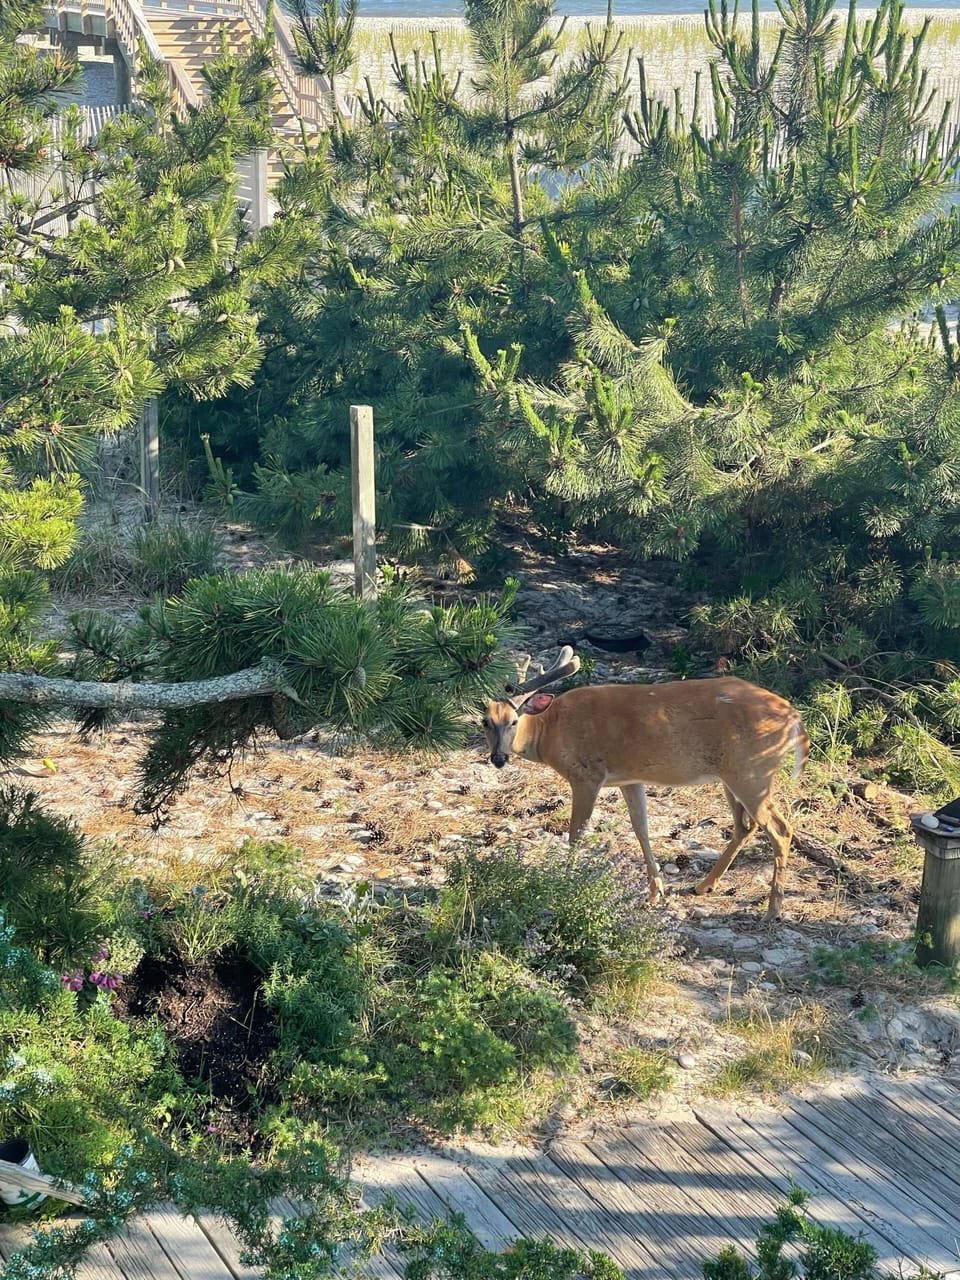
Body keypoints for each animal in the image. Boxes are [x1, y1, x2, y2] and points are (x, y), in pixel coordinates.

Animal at [482, 647, 809, 920]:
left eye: (513, 721)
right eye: (485, 721)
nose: (498, 758)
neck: (549, 730)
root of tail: (793, 717)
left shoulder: (587, 775)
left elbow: (577, 834)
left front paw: (563, 883)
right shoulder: (630, 778)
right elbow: (641, 829)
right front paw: (655, 892)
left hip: (751, 772)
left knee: (780, 829)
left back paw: (773, 911)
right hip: (733, 775)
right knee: (745, 825)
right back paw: (703, 886)